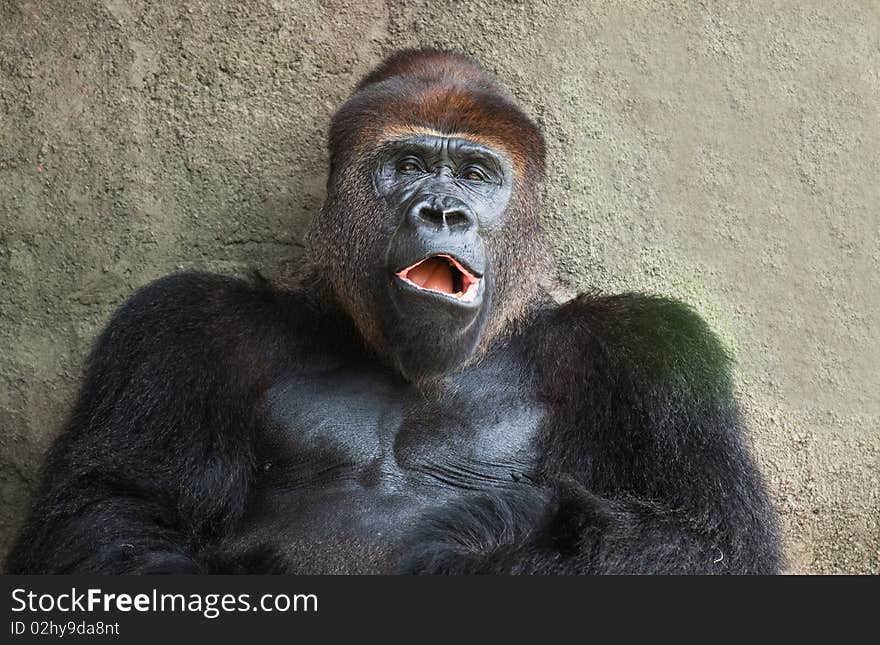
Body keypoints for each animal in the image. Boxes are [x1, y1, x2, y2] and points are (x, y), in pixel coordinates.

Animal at [3, 50, 780, 572]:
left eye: (475, 175)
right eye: (407, 166)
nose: (444, 210)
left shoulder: (653, 350)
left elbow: (702, 539)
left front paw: (485, 532)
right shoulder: (181, 327)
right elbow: (106, 519)